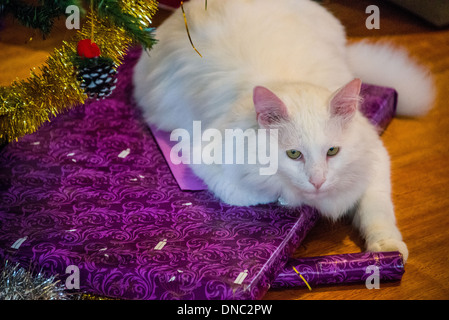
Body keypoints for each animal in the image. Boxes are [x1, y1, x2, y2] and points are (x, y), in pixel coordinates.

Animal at [133, 0, 434, 262]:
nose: (317, 181)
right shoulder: (203, 156)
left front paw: (388, 250)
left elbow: (377, 210)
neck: (288, 79)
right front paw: (288, 198)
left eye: (332, 151)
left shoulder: (376, 157)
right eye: (293, 154)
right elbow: (253, 193)